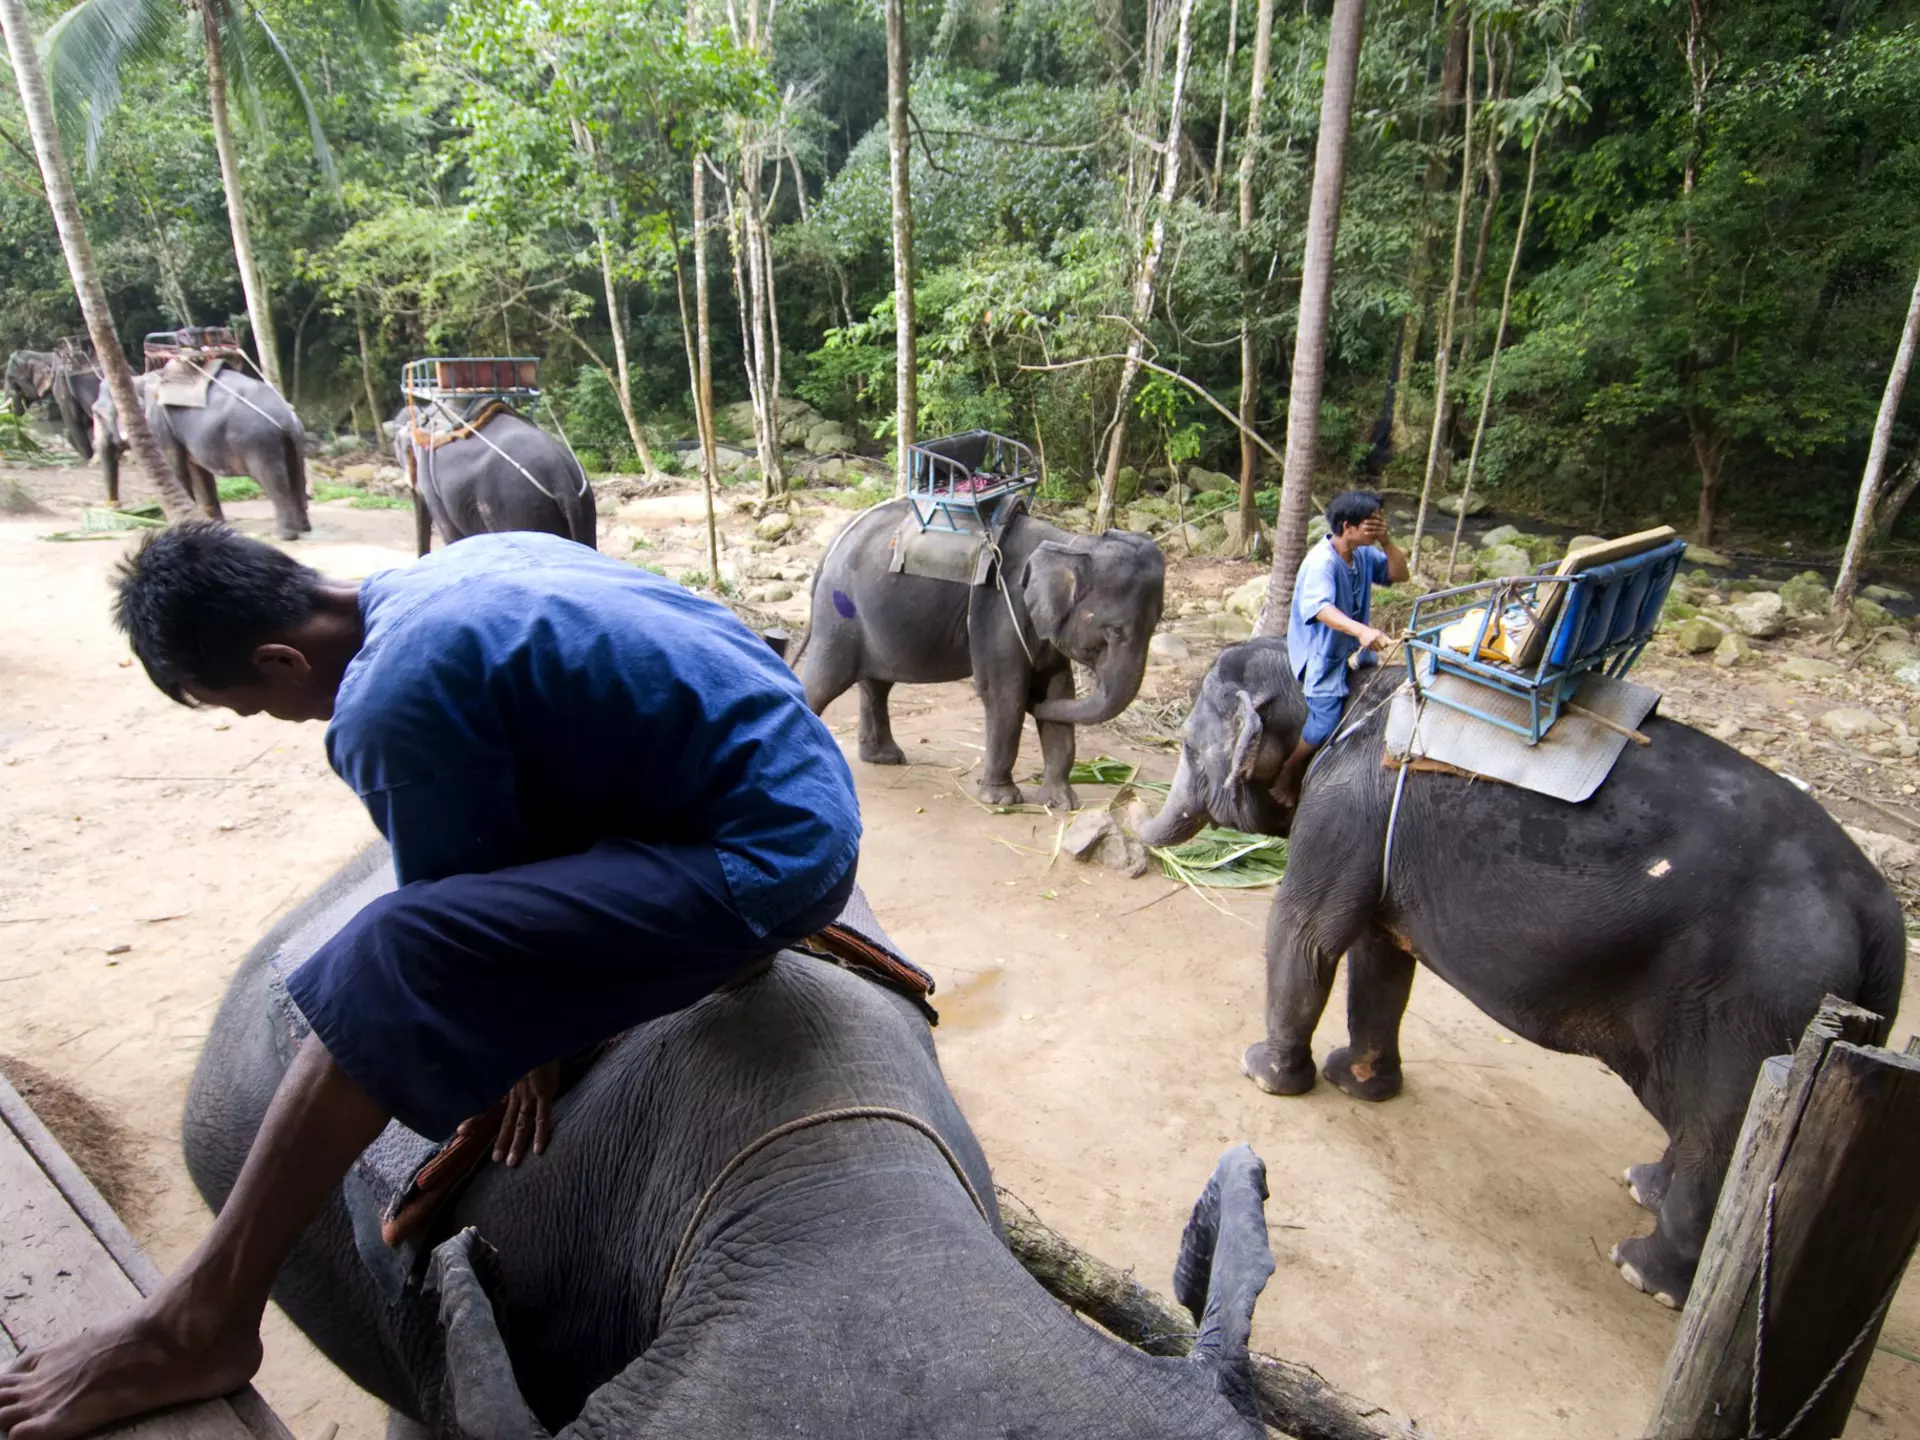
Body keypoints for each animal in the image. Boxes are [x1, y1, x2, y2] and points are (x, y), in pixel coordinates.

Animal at [94, 371, 311, 539]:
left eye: (98, 415)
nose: (115, 506)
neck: (139, 378)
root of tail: (286, 415)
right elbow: (200, 473)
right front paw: (214, 526)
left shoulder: (158, 426)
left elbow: (176, 469)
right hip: (293, 441)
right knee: (296, 473)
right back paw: (303, 528)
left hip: (259, 442)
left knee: (272, 480)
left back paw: (284, 535)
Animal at [797, 499, 1165, 810]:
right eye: (1115, 631)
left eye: (1156, 624)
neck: (1069, 543)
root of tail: (837, 538)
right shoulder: (999, 609)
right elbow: (1005, 695)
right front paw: (1002, 800)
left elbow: (1059, 691)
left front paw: (1062, 804)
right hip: (838, 614)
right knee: (825, 680)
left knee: (875, 684)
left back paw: (884, 757)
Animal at [1139, 638, 1906, 1308]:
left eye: (1187, 748)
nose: (1128, 822)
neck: (1345, 683)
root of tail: (1880, 917)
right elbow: (1381, 955)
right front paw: (1358, 1085)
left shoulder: (1342, 808)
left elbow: (1306, 935)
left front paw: (1264, 1076)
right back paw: (1643, 1189)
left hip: (1754, 1009)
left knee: (1721, 1128)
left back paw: (1644, 1272)